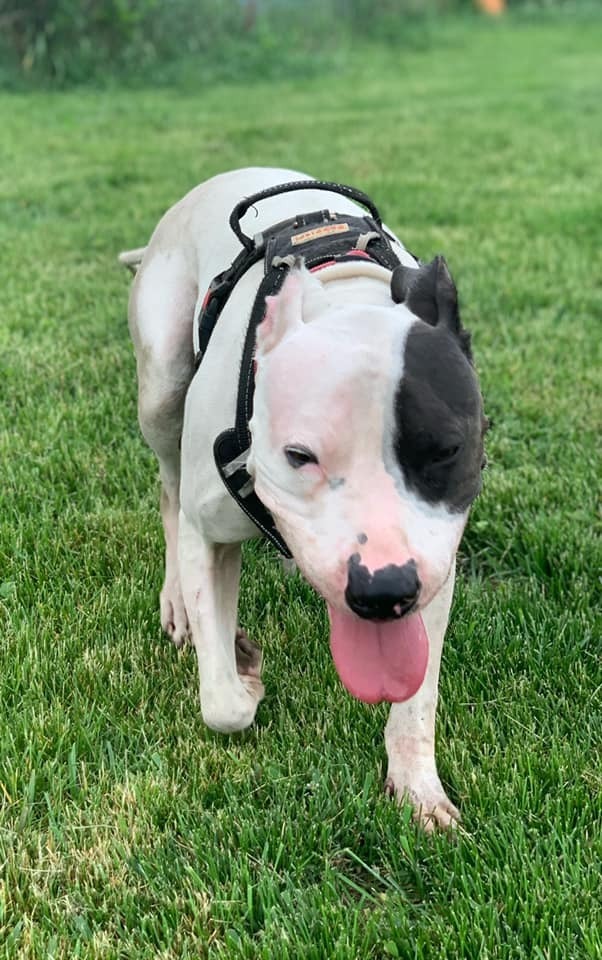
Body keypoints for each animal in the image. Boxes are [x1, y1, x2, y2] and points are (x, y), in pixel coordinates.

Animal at [119, 169, 486, 828]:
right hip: (161, 387)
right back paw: (178, 604)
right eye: (299, 455)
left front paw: (418, 786)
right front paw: (241, 668)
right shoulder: (208, 530)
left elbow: (418, 697)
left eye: (447, 450)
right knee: (168, 488)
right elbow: (221, 704)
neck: (346, 298)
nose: (384, 590)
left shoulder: (435, 565)